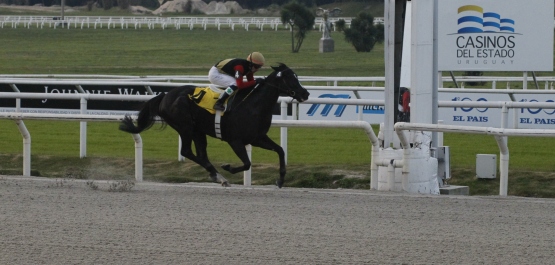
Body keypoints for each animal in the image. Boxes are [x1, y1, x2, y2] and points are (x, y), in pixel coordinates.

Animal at [119, 63, 310, 188]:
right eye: (289, 78)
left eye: (296, 76)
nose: (306, 93)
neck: (253, 105)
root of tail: (165, 95)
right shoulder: (235, 140)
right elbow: (247, 163)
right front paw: (228, 167)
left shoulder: (257, 137)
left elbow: (280, 150)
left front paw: (281, 179)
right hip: (185, 127)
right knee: (186, 151)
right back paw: (219, 175)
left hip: (198, 131)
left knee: (200, 154)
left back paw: (217, 176)